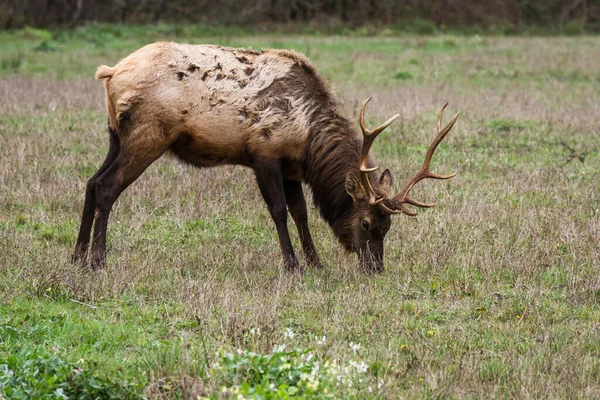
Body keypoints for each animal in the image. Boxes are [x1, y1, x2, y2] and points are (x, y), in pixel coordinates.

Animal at [71, 42, 460, 272]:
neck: (307, 138)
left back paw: (76, 256)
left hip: (116, 135)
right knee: (107, 186)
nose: (375, 268)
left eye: (388, 226)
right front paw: (292, 265)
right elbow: (279, 211)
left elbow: (301, 212)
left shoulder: (291, 167)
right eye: (365, 223)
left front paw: (316, 262)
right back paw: (98, 261)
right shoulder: (264, 154)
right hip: (148, 135)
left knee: (91, 182)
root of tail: (110, 74)